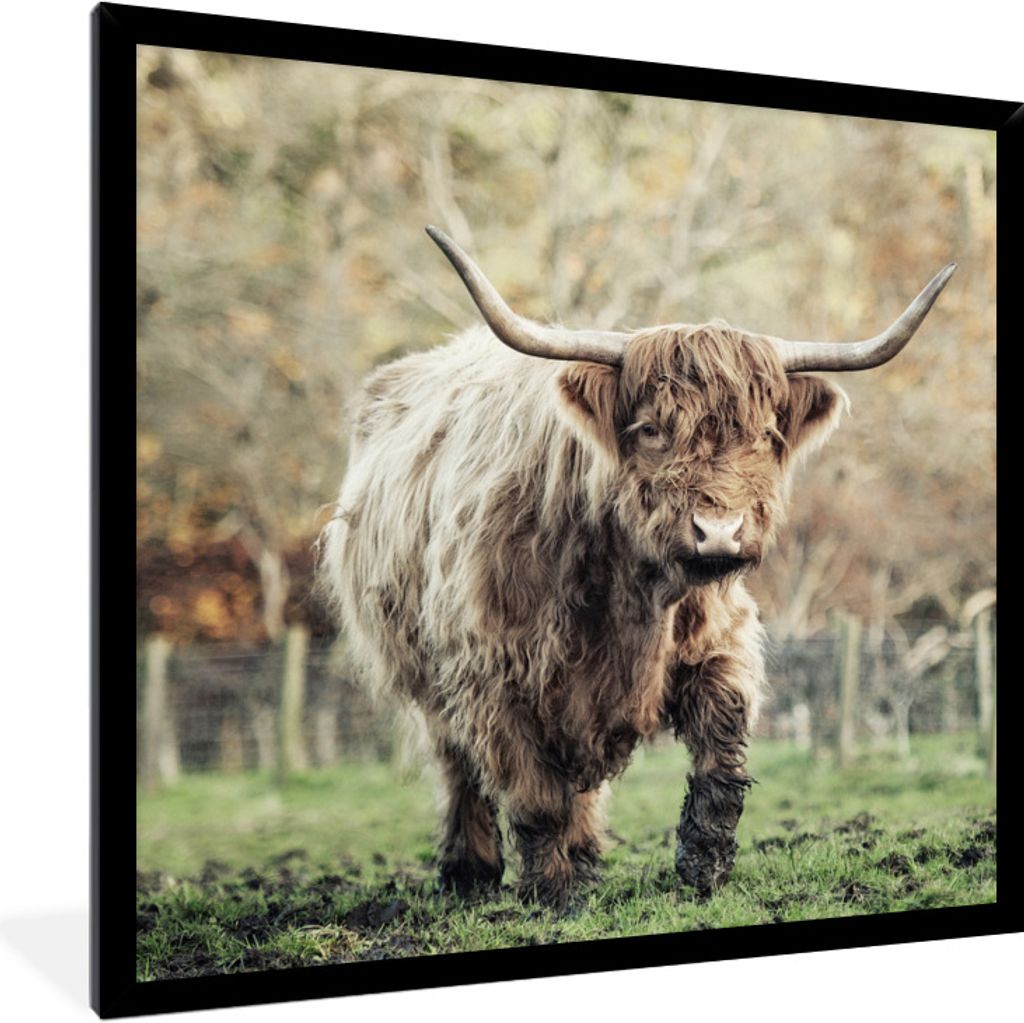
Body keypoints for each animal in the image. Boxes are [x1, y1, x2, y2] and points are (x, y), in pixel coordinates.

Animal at [320, 226, 954, 908]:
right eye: (650, 429)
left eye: (765, 435)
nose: (719, 531)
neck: (626, 588)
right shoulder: (494, 671)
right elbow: (534, 792)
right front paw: (556, 892)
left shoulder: (717, 639)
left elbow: (722, 756)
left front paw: (703, 867)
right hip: (424, 672)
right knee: (459, 765)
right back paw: (472, 873)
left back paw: (585, 855)